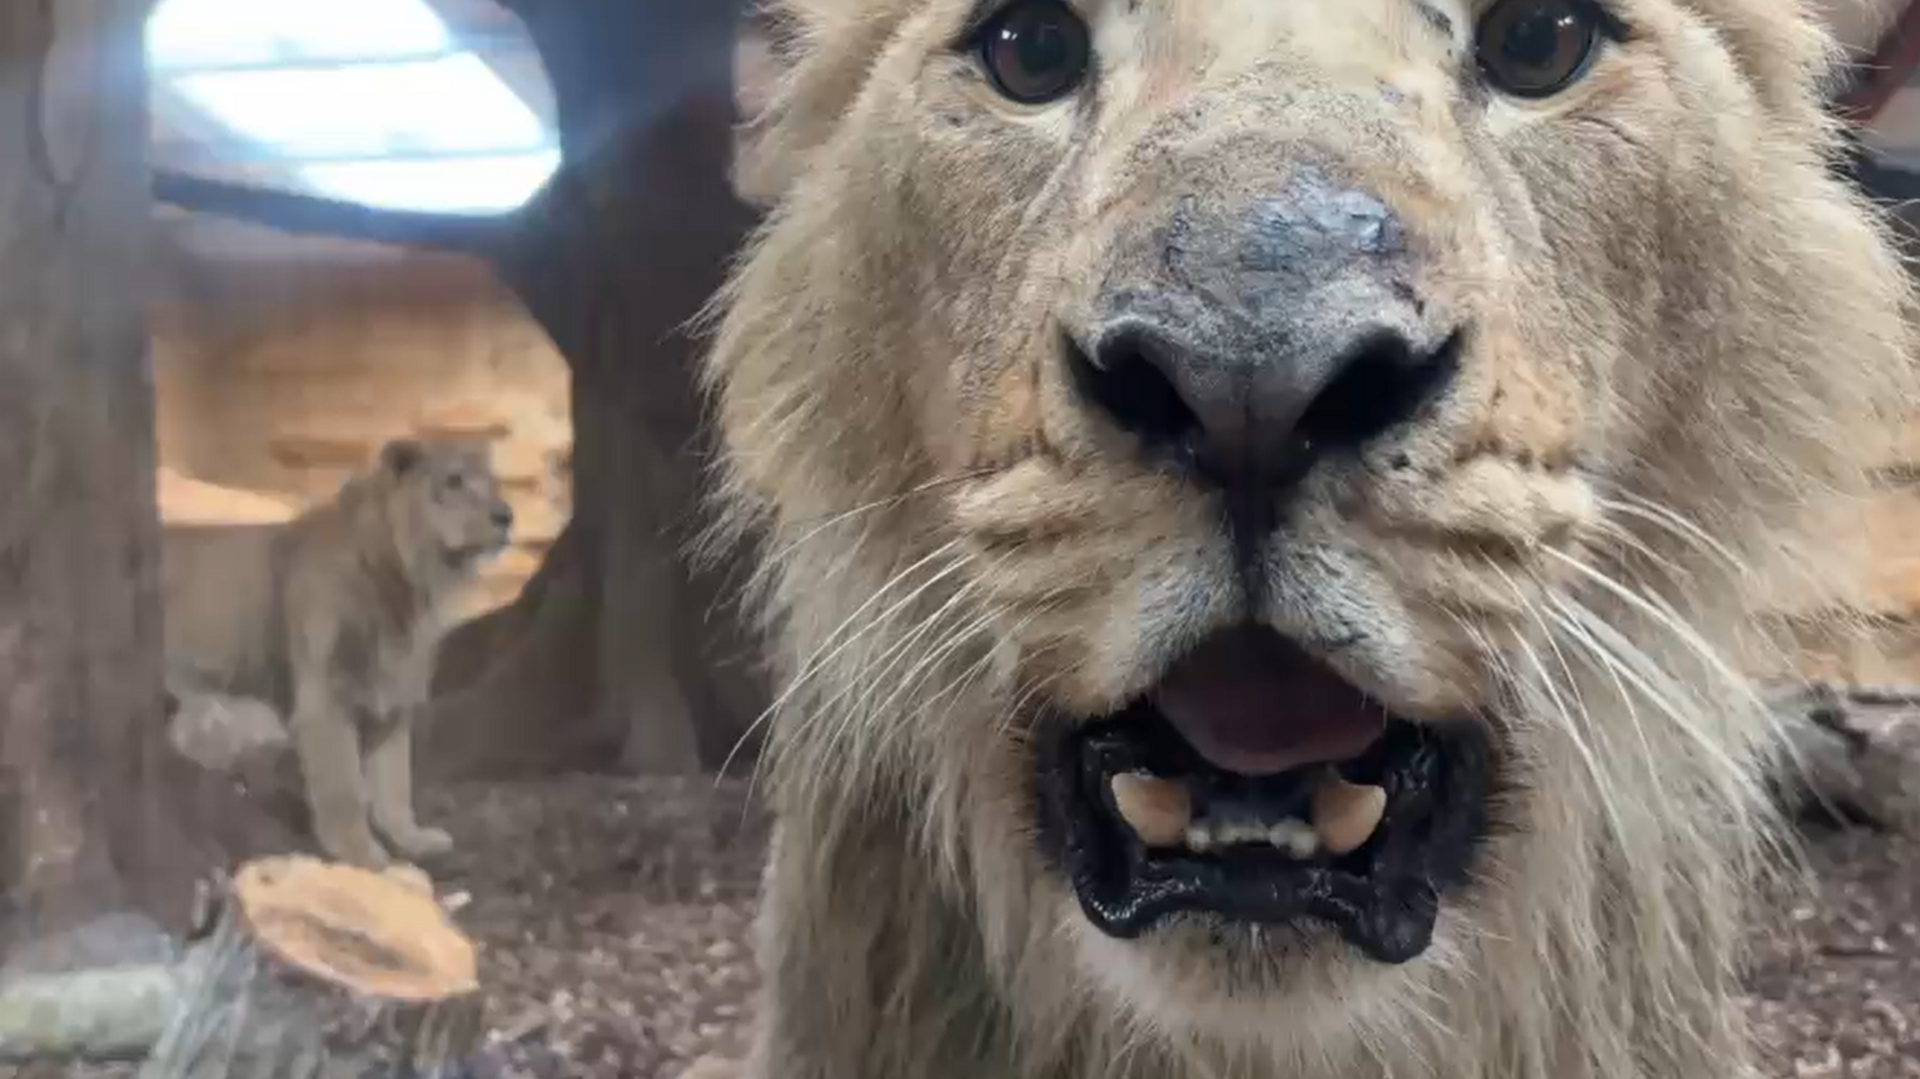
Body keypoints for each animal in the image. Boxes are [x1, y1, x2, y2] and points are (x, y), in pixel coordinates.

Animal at [161, 438, 514, 868]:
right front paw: (362, 854)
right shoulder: (325, 700)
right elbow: (344, 788)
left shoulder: (391, 699)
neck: (410, 588)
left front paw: (412, 839)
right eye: (454, 481)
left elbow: (395, 782)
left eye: (493, 481)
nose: (506, 516)